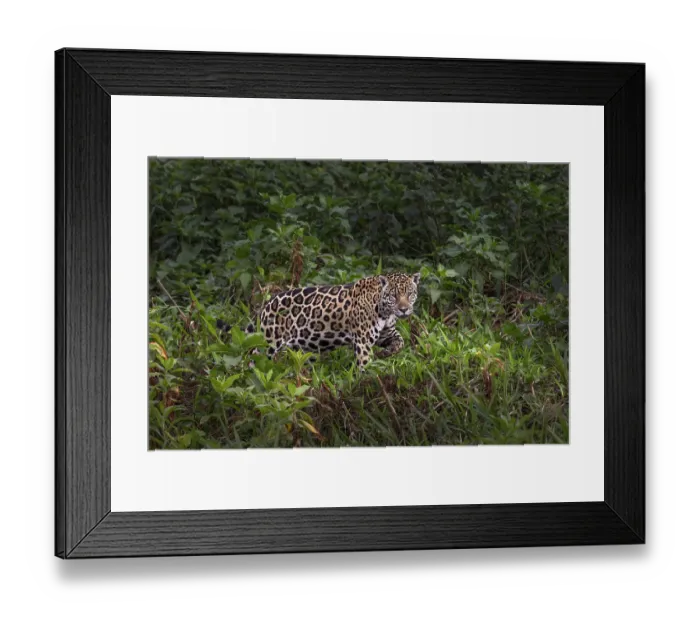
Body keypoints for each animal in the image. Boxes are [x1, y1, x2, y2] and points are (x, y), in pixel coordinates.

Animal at [220, 272, 420, 371]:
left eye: (410, 293)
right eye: (394, 296)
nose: (404, 309)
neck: (384, 310)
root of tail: (266, 305)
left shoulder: (385, 334)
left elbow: (400, 342)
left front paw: (385, 353)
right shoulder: (363, 341)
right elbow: (364, 363)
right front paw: (367, 378)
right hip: (268, 343)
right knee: (253, 359)